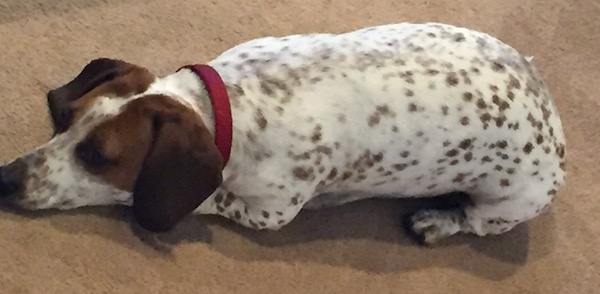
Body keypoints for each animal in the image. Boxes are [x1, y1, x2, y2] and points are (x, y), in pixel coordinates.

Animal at [0, 22, 564, 243]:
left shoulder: (270, 212)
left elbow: (209, 198)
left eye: (98, 157)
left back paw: (439, 221)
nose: (5, 179)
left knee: (473, 220)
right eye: (67, 120)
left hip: (505, 207)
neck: (226, 106)